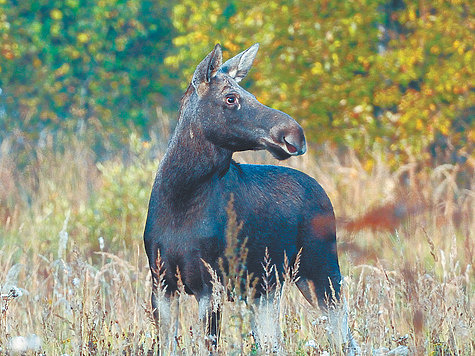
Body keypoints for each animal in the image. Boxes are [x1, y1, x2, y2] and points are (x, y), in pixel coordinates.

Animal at [143, 43, 358, 354]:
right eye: (231, 98)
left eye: (252, 96)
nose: (294, 135)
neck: (180, 199)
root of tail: (321, 191)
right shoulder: (161, 283)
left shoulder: (211, 284)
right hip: (266, 288)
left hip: (321, 270)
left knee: (344, 335)